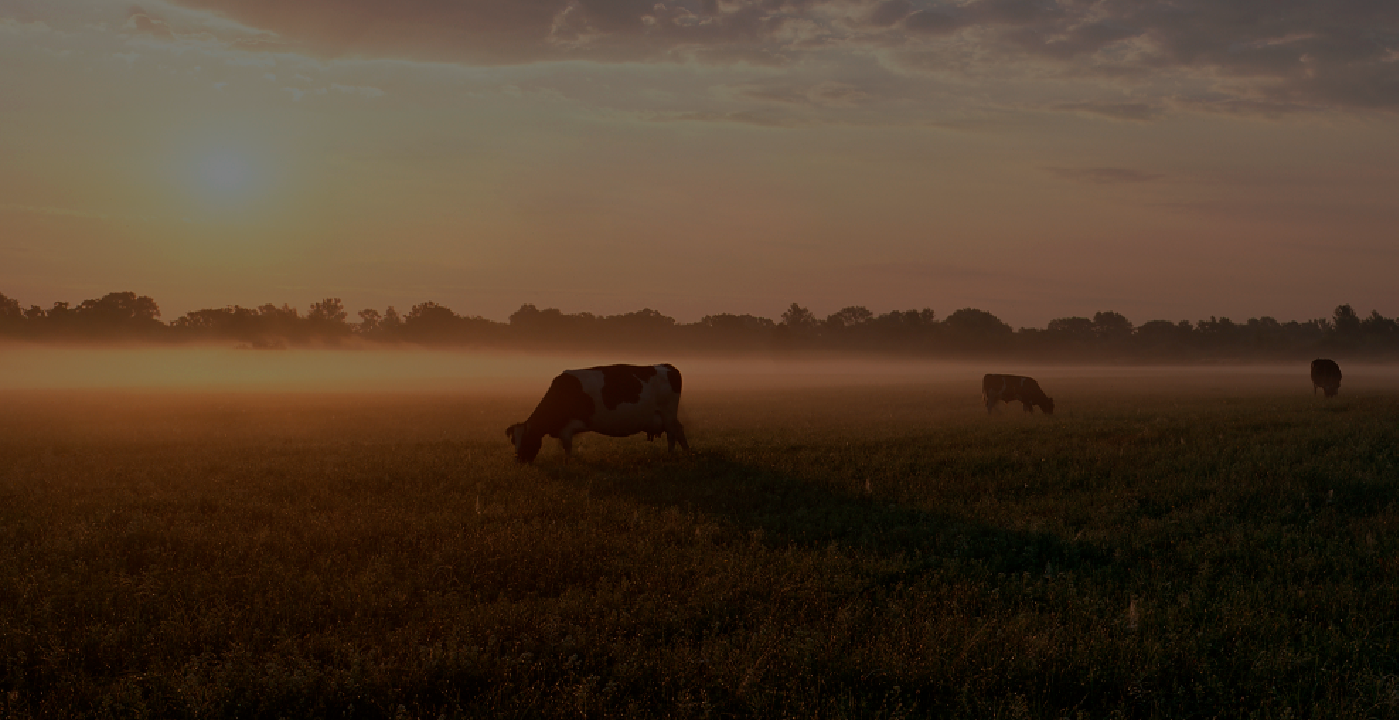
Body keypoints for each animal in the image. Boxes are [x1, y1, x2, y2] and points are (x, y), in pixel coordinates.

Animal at [512, 361, 691, 462]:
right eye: (514, 441)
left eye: (526, 439)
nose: (519, 460)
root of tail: (666, 366)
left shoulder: (567, 429)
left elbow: (567, 447)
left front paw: (568, 461)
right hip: (664, 416)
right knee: (673, 433)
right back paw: (672, 454)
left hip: (668, 413)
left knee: (677, 431)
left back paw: (683, 454)